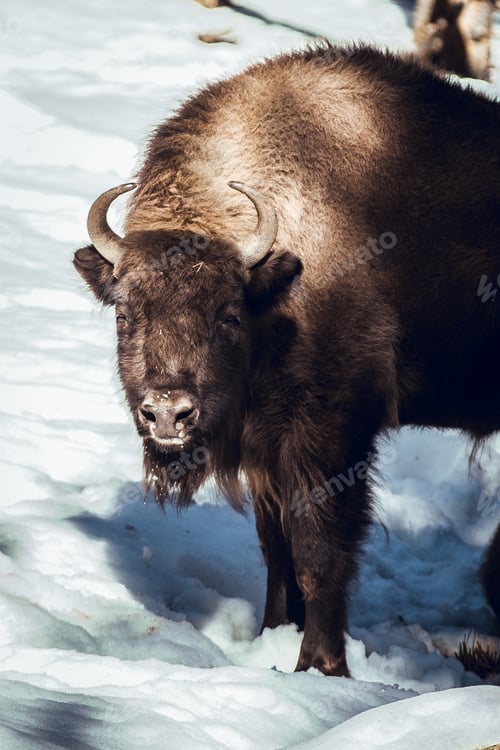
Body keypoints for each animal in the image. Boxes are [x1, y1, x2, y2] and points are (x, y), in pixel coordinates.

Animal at [74, 44, 500, 677]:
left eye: (228, 314)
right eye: (124, 314)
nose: (168, 414)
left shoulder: (330, 436)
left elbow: (318, 553)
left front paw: (319, 666)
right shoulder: (264, 447)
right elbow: (276, 549)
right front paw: (272, 637)